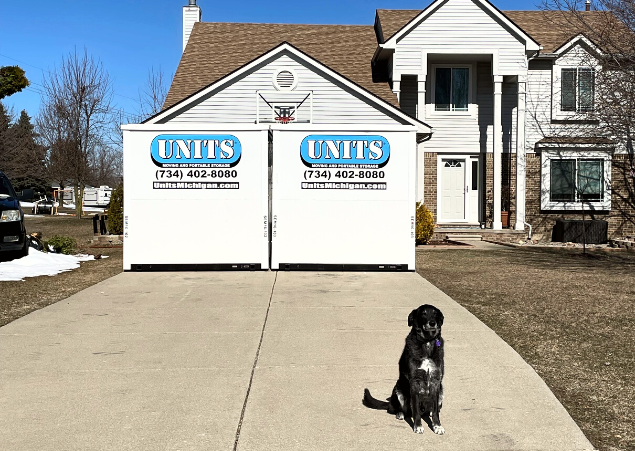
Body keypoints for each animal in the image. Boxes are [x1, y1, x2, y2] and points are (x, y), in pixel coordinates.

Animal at [362, 306, 448, 436]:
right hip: (398, 389)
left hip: (441, 391)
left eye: (435, 313)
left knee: (432, 409)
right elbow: (415, 410)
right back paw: (400, 413)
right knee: (397, 409)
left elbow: (436, 411)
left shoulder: (436, 381)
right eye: (423, 314)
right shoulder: (414, 382)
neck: (427, 342)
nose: (432, 323)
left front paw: (437, 426)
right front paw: (418, 426)